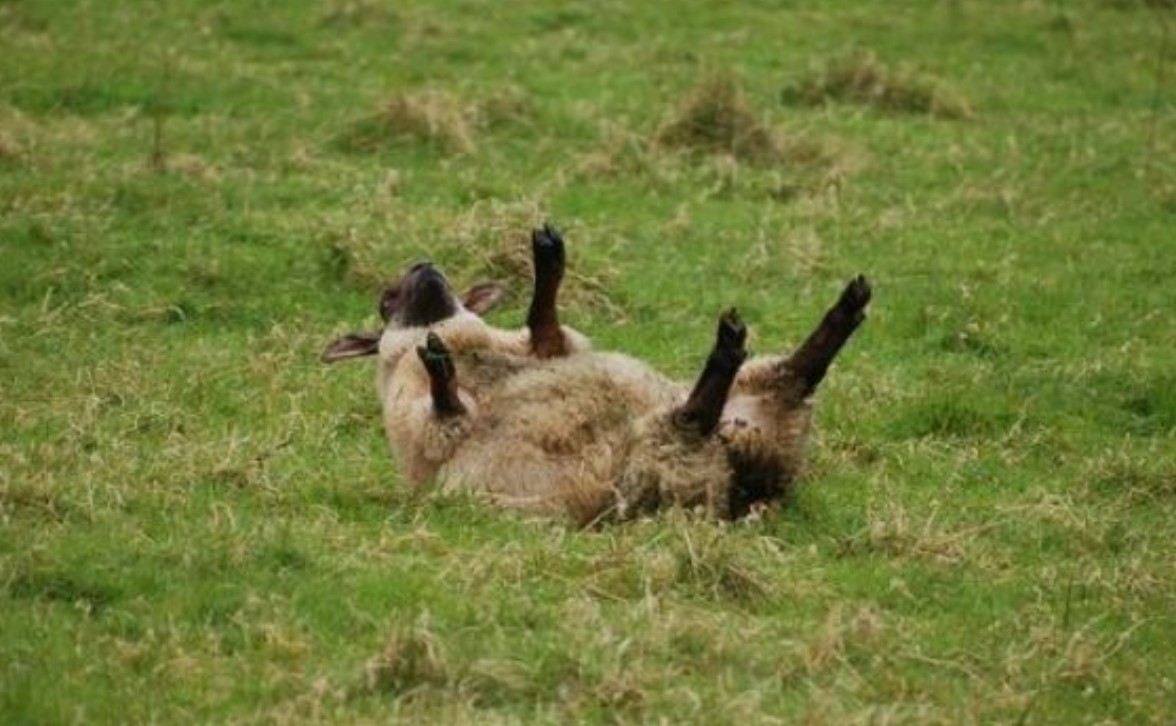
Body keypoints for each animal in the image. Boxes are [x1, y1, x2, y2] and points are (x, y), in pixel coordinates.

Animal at [322, 226, 871, 526]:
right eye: (386, 300)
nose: (425, 265)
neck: (465, 347)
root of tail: (753, 491)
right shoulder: (416, 432)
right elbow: (443, 417)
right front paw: (441, 373)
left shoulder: (541, 348)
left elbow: (547, 327)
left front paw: (548, 258)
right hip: (659, 466)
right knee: (695, 416)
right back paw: (728, 347)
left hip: (757, 411)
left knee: (794, 374)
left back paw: (846, 307)